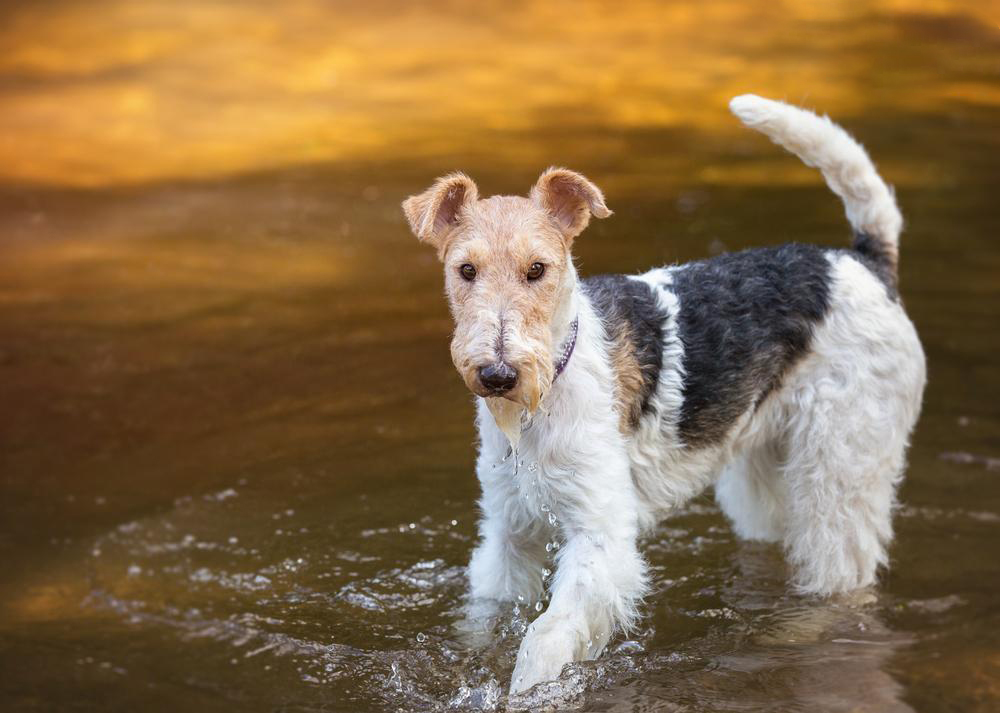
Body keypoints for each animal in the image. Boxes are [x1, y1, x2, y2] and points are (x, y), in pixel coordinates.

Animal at [400, 94, 928, 696]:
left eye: (538, 269)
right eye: (465, 269)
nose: (498, 374)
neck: (551, 385)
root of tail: (864, 263)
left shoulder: (600, 536)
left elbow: (545, 638)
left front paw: (528, 692)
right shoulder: (508, 534)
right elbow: (487, 614)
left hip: (840, 472)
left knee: (842, 571)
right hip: (763, 475)